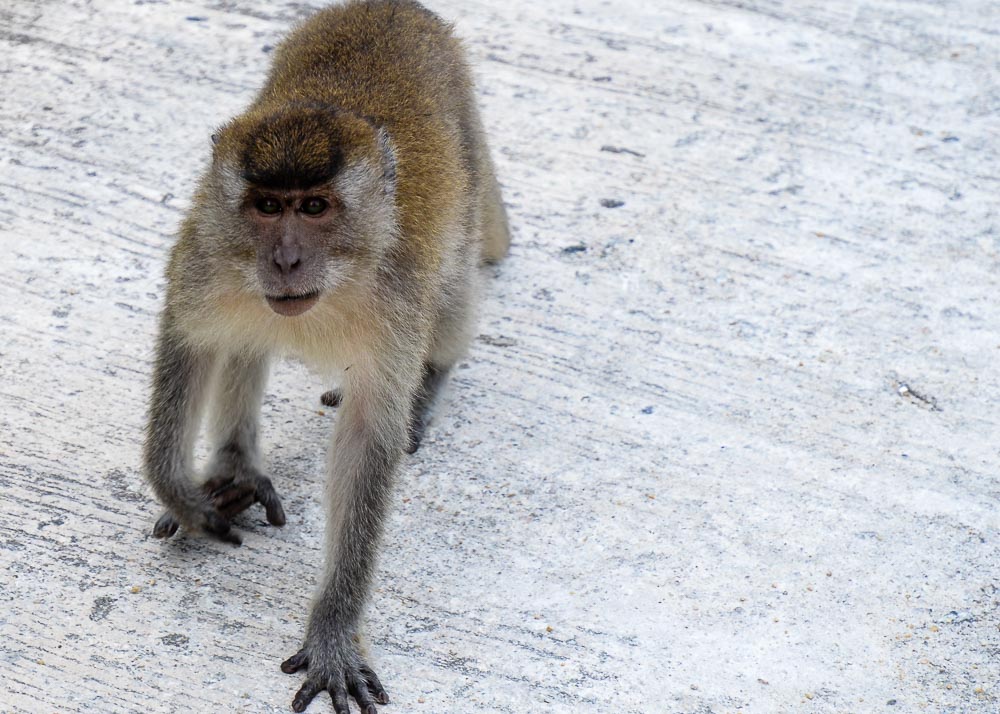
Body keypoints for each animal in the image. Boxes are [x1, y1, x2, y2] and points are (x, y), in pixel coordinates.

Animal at [141, 1, 510, 712]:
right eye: (267, 207)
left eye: (314, 207)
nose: (285, 260)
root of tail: (395, 8)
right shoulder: (204, 250)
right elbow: (191, 343)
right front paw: (181, 492)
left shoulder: (398, 294)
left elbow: (368, 437)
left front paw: (335, 627)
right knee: (245, 339)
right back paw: (236, 466)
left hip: (465, 193)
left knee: (452, 295)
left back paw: (429, 383)